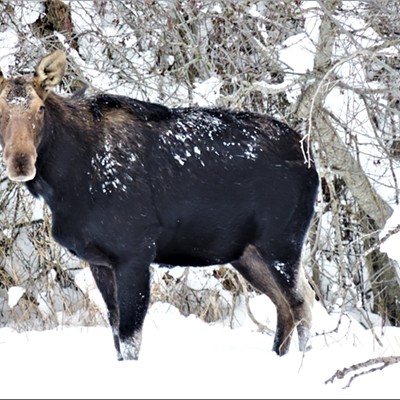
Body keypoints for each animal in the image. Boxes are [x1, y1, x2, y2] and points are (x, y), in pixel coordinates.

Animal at [0, 49, 318, 360]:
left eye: (40, 108)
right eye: (1, 110)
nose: (20, 163)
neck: (64, 185)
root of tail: (310, 160)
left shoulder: (134, 253)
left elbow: (129, 340)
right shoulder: (98, 260)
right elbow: (115, 334)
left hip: (281, 242)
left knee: (302, 301)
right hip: (247, 252)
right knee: (285, 305)